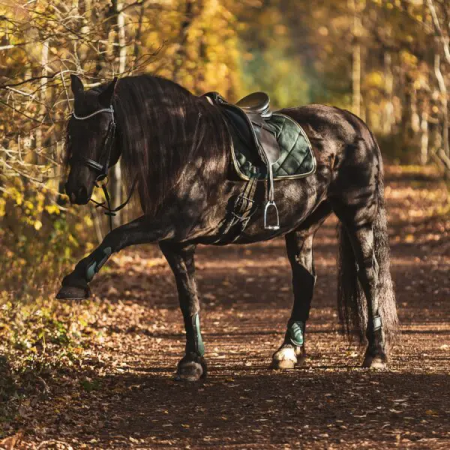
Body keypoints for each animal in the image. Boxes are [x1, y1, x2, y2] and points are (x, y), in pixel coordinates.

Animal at [59, 74, 398, 380]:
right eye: (71, 129)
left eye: (104, 130)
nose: (75, 188)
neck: (188, 150)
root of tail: (356, 124)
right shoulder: (176, 242)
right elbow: (189, 299)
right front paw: (193, 361)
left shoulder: (169, 225)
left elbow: (117, 235)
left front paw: (75, 280)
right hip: (303, 226)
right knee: (305, 280)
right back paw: (289, 350)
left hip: (357, 215)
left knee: (369, 275)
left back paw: (376, 353)